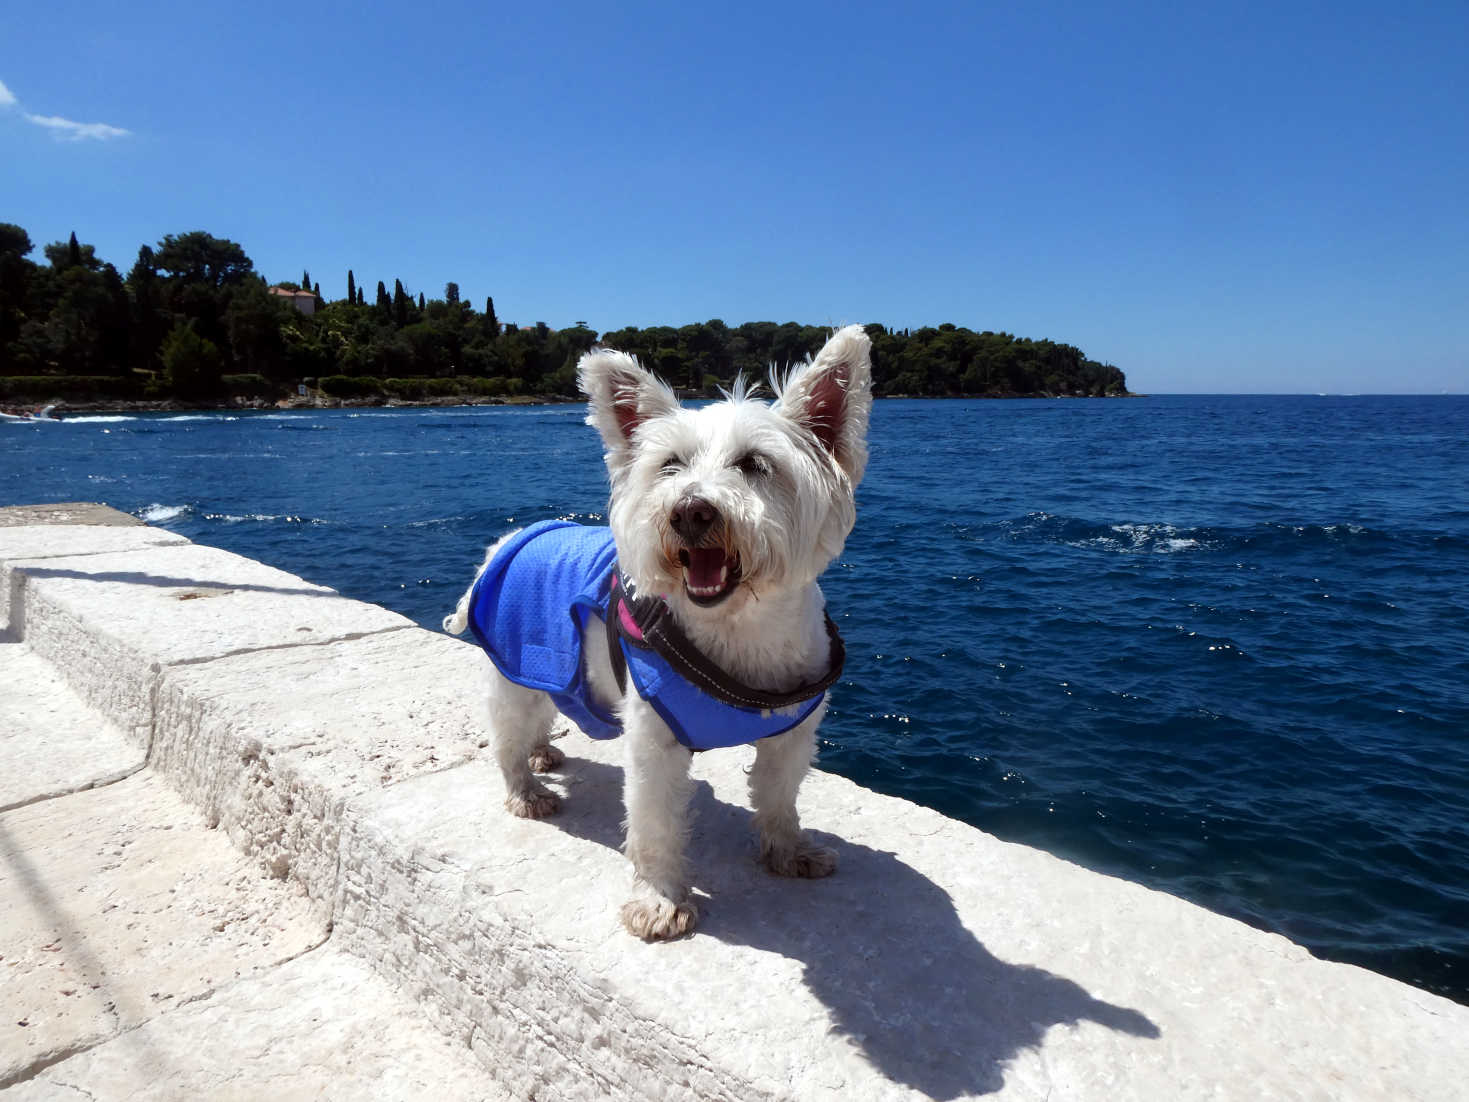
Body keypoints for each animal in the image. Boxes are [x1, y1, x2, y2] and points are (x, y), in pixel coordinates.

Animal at [440, 323, 863, 934]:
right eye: (670, 465)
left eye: (755, 463)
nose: (689, 511)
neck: (736, 632)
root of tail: (510, 539)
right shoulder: (653, 741)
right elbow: (655, 824)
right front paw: (660, 901)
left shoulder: (792, 732)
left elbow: (779, 797)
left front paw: (790, 853)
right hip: (514, 667)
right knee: (507, 733)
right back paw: (527, 789)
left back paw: (544, 753)